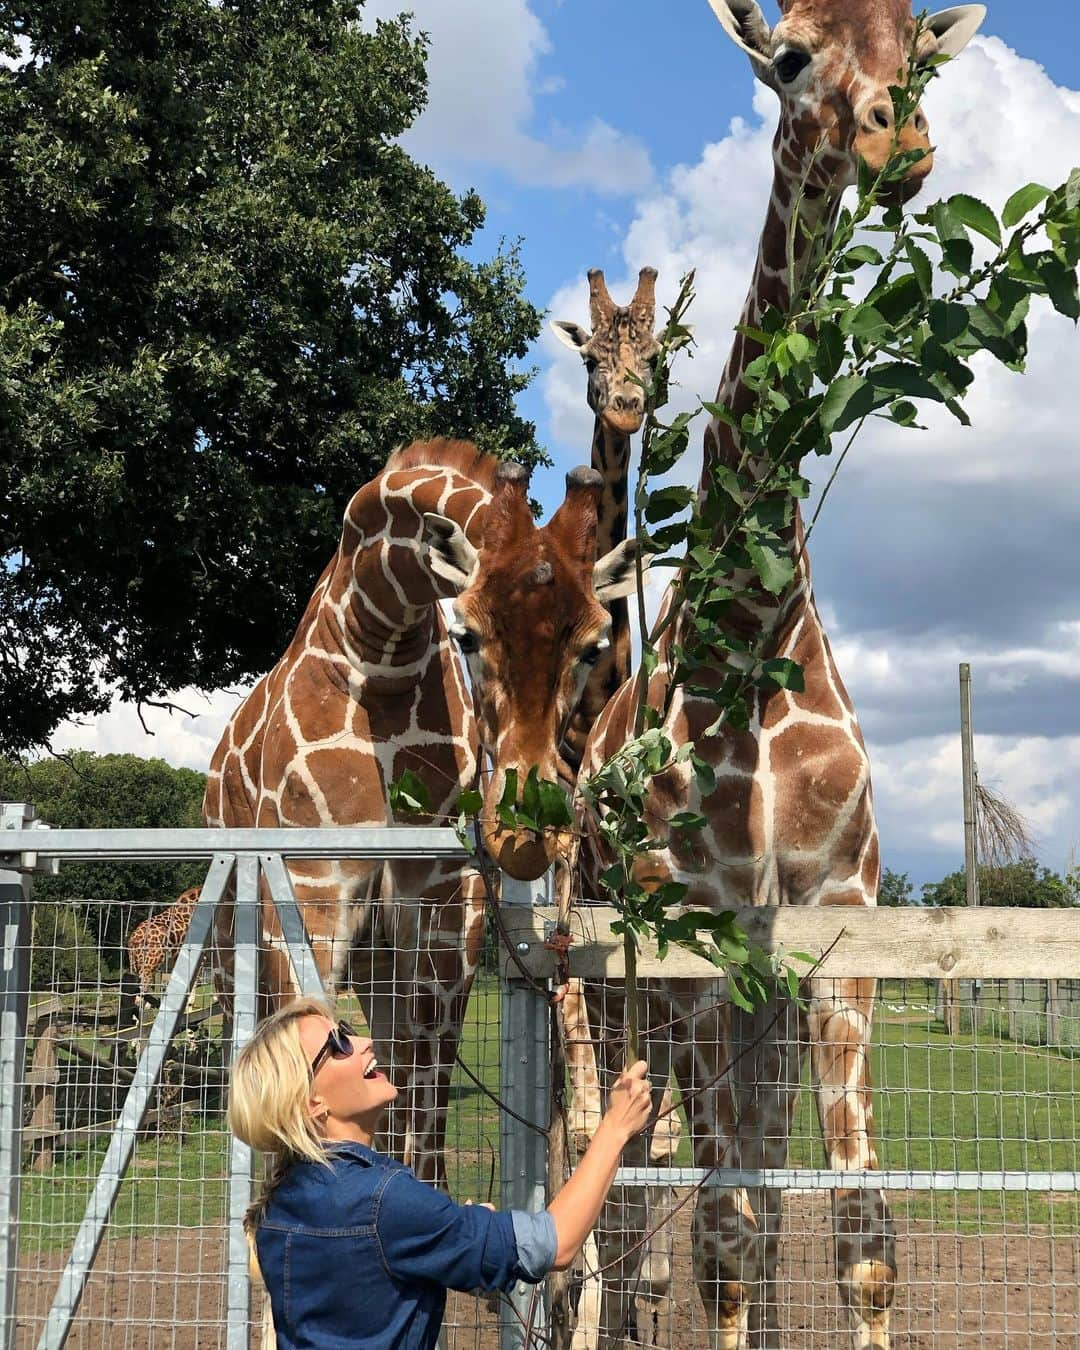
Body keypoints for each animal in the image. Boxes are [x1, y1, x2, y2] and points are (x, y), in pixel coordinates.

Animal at [202, 440, 642, 1182]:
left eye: (592, 645)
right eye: (466, 635)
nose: (523, 835)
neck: (382, 648)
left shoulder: (441, 900)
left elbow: (420, 1078)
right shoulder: (314, 882)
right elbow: (315, 1037)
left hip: (377, 946)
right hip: (239, 925)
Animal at [583, 5, 988, 1344]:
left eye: (921, 46)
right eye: (796, 53)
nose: (901, 141)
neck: (757, 639)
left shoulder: (837, 941)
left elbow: (858, 1235)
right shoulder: (705, 953)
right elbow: (718, 1237)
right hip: (621, 990)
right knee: (626, 1199)